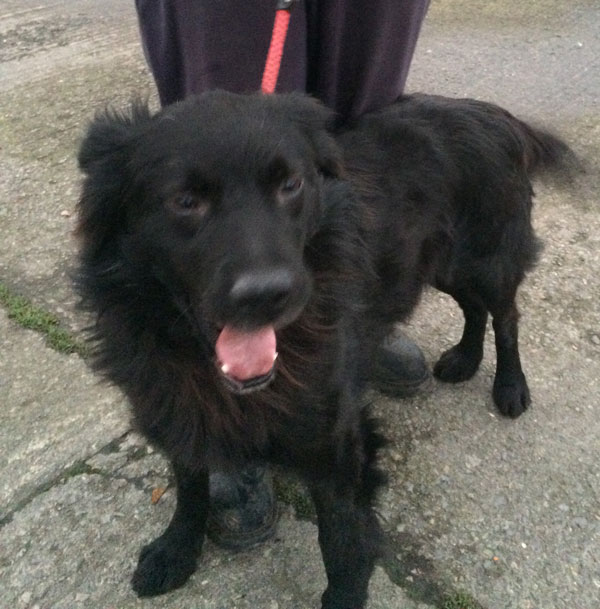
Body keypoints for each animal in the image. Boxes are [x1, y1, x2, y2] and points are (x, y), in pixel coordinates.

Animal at [75, 91, 572, 608]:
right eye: (185, 201)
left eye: (290, 185)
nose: (268, 294)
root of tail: (496, 114)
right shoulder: (177, 407)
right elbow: (190, 488)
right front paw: (175, 550)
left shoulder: (335, 443)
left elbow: (340, 538)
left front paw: (344, 594)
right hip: (440, 263)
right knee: (473, 308)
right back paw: (464, 360)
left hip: (487, 259)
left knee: (506, 318)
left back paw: (510, 387)